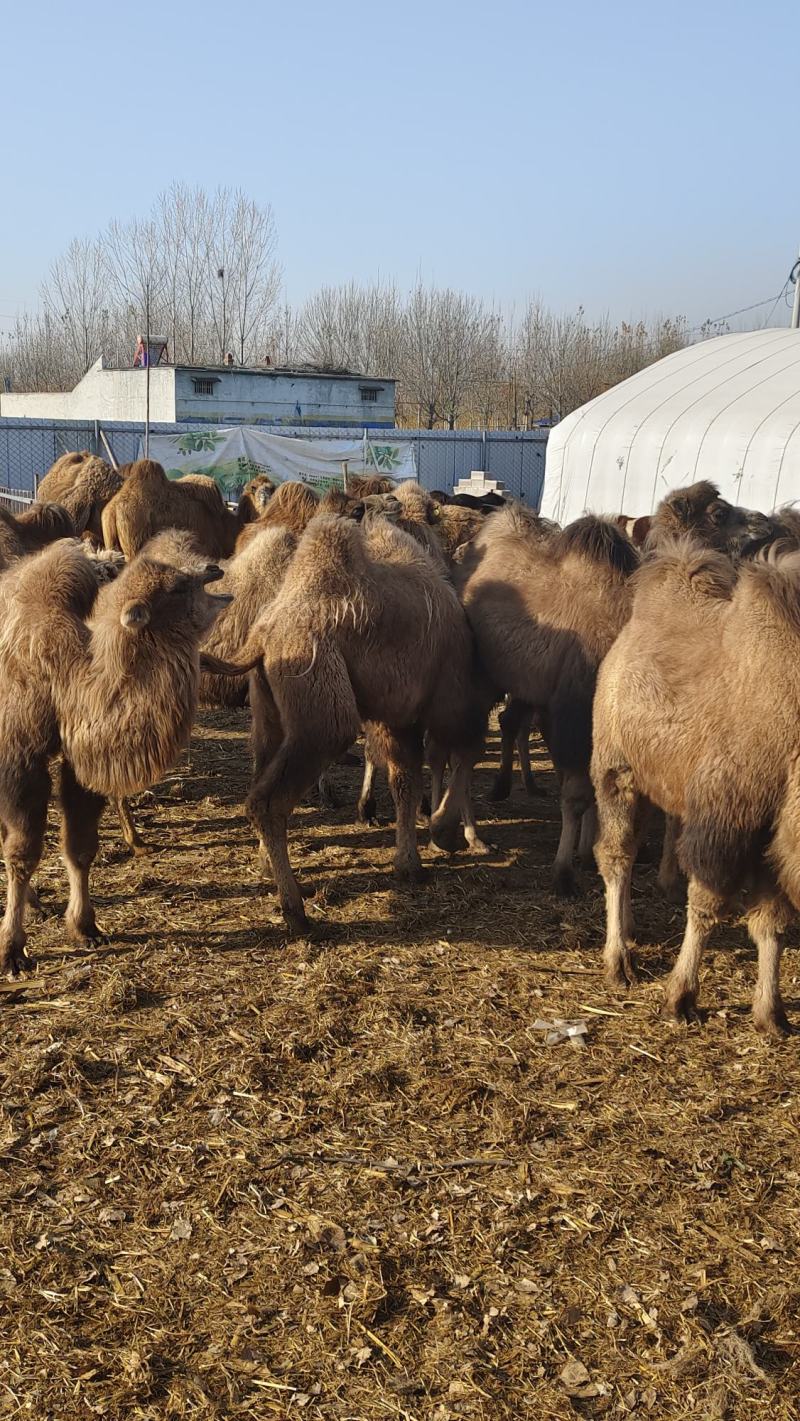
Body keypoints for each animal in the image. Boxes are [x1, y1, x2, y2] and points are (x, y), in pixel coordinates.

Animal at [593, 537, 800, 1040]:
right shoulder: (726, 819)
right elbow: (706, 905)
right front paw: (679, 998)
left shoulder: (772, 835)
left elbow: (772, 923)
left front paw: (772, 1014)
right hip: (616, 768)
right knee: (616, 855)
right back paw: (618, 961)